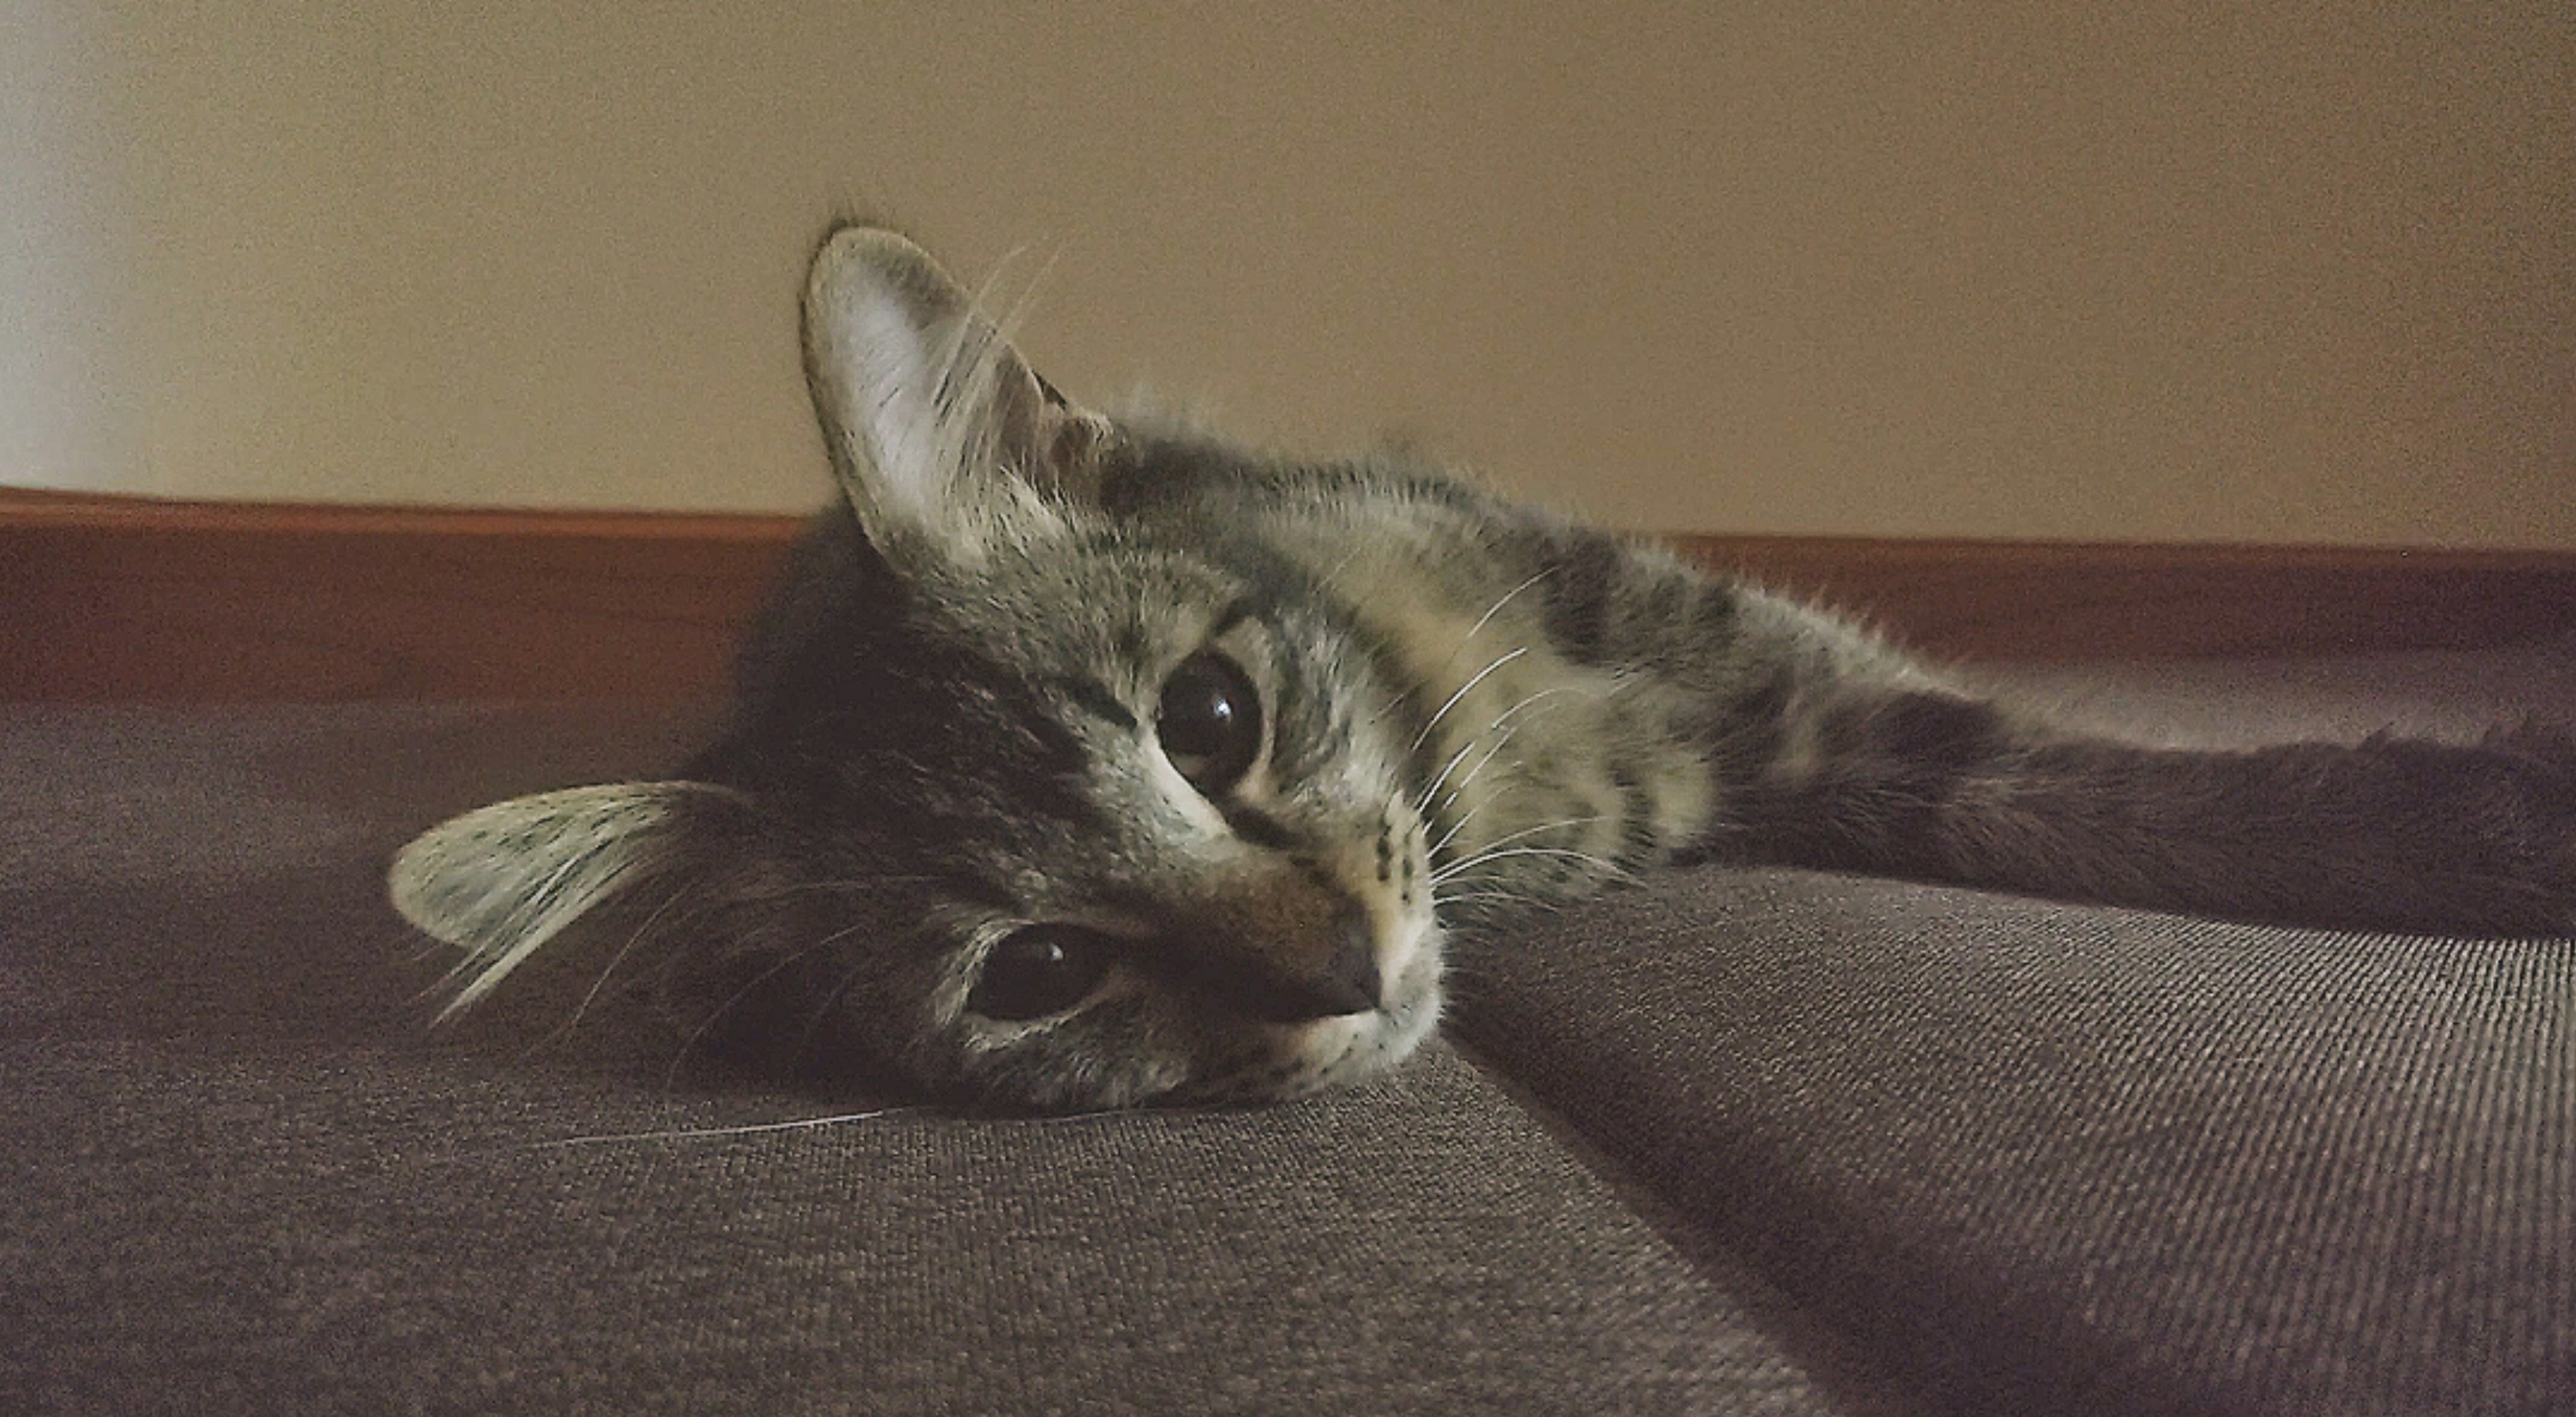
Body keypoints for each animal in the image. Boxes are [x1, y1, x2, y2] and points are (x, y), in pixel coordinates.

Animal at [381, 221, 2576, 1118]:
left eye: (1209, 718)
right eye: (1037, 971)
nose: (1349, 968)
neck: (1478, 769)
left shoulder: (1692, 621)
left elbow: (2057, 777)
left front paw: (2463, 822)